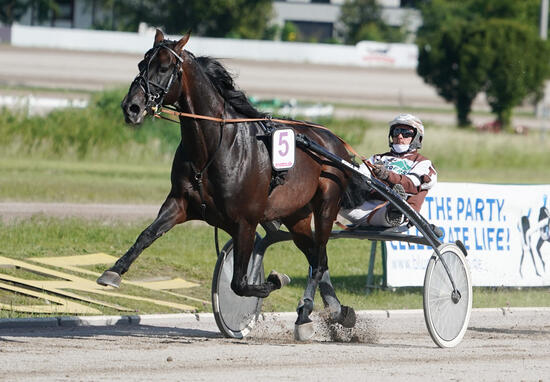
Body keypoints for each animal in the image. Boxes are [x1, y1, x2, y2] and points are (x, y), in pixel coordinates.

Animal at [98, 30, 358, 340]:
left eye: (163, 68)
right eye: (140, 64)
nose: (131, 108)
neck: (213, 149)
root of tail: (334, 140)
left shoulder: (245, 221)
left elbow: (240, 283)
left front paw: (275, 279)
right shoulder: (180, 204)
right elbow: (147, 234)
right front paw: (113, 271)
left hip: (327, 205)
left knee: (317, 261)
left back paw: (306, 316)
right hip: (297, 216)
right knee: (318, 258)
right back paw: (336, 312)